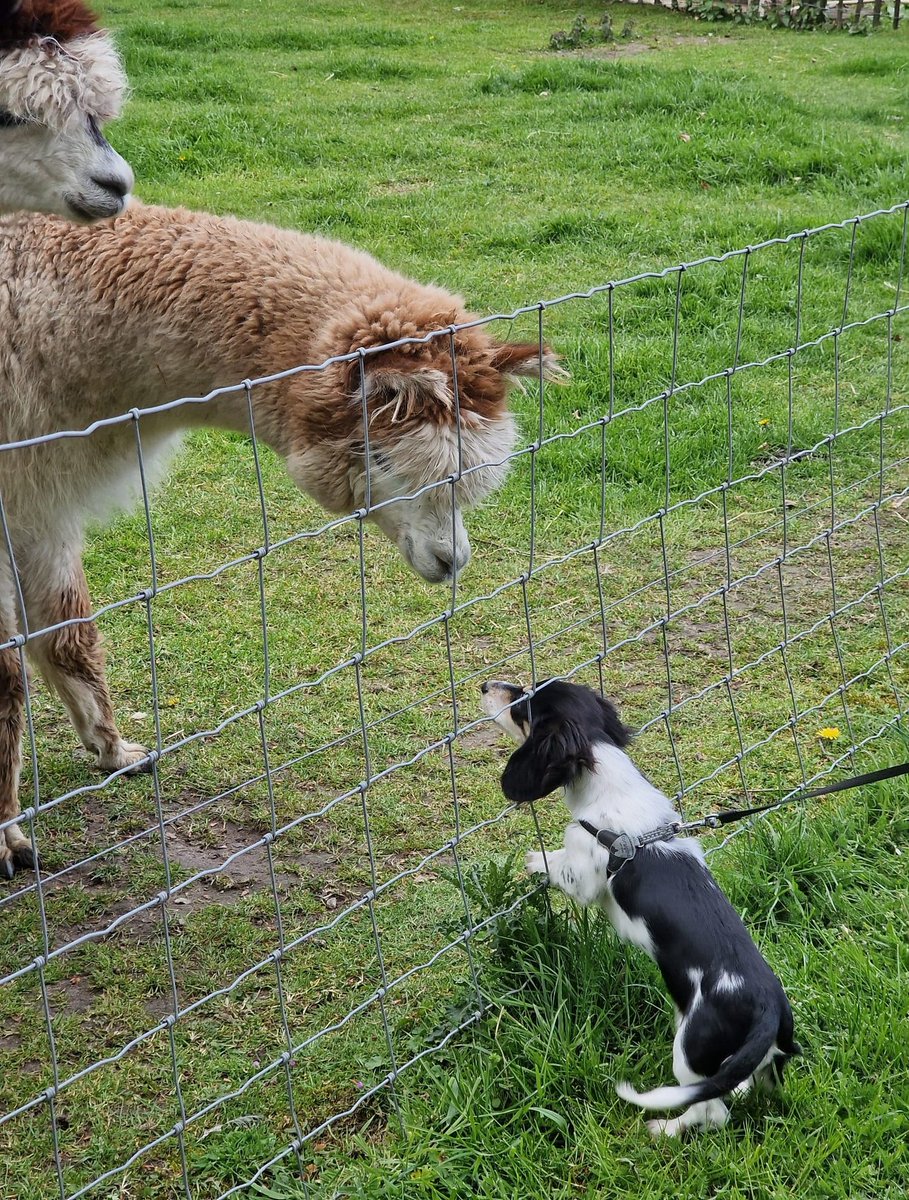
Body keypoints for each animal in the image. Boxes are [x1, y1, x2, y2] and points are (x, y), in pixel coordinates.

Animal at [479, 681, 801, 1137]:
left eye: (523, 704)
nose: (486, 686)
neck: (610, 782)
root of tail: (768, 1010)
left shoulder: (585, 872)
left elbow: (561, 865)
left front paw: (536, 859)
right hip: (760, 1062)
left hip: (688, 1049)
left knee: (711, 1112)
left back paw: (665, 1129)